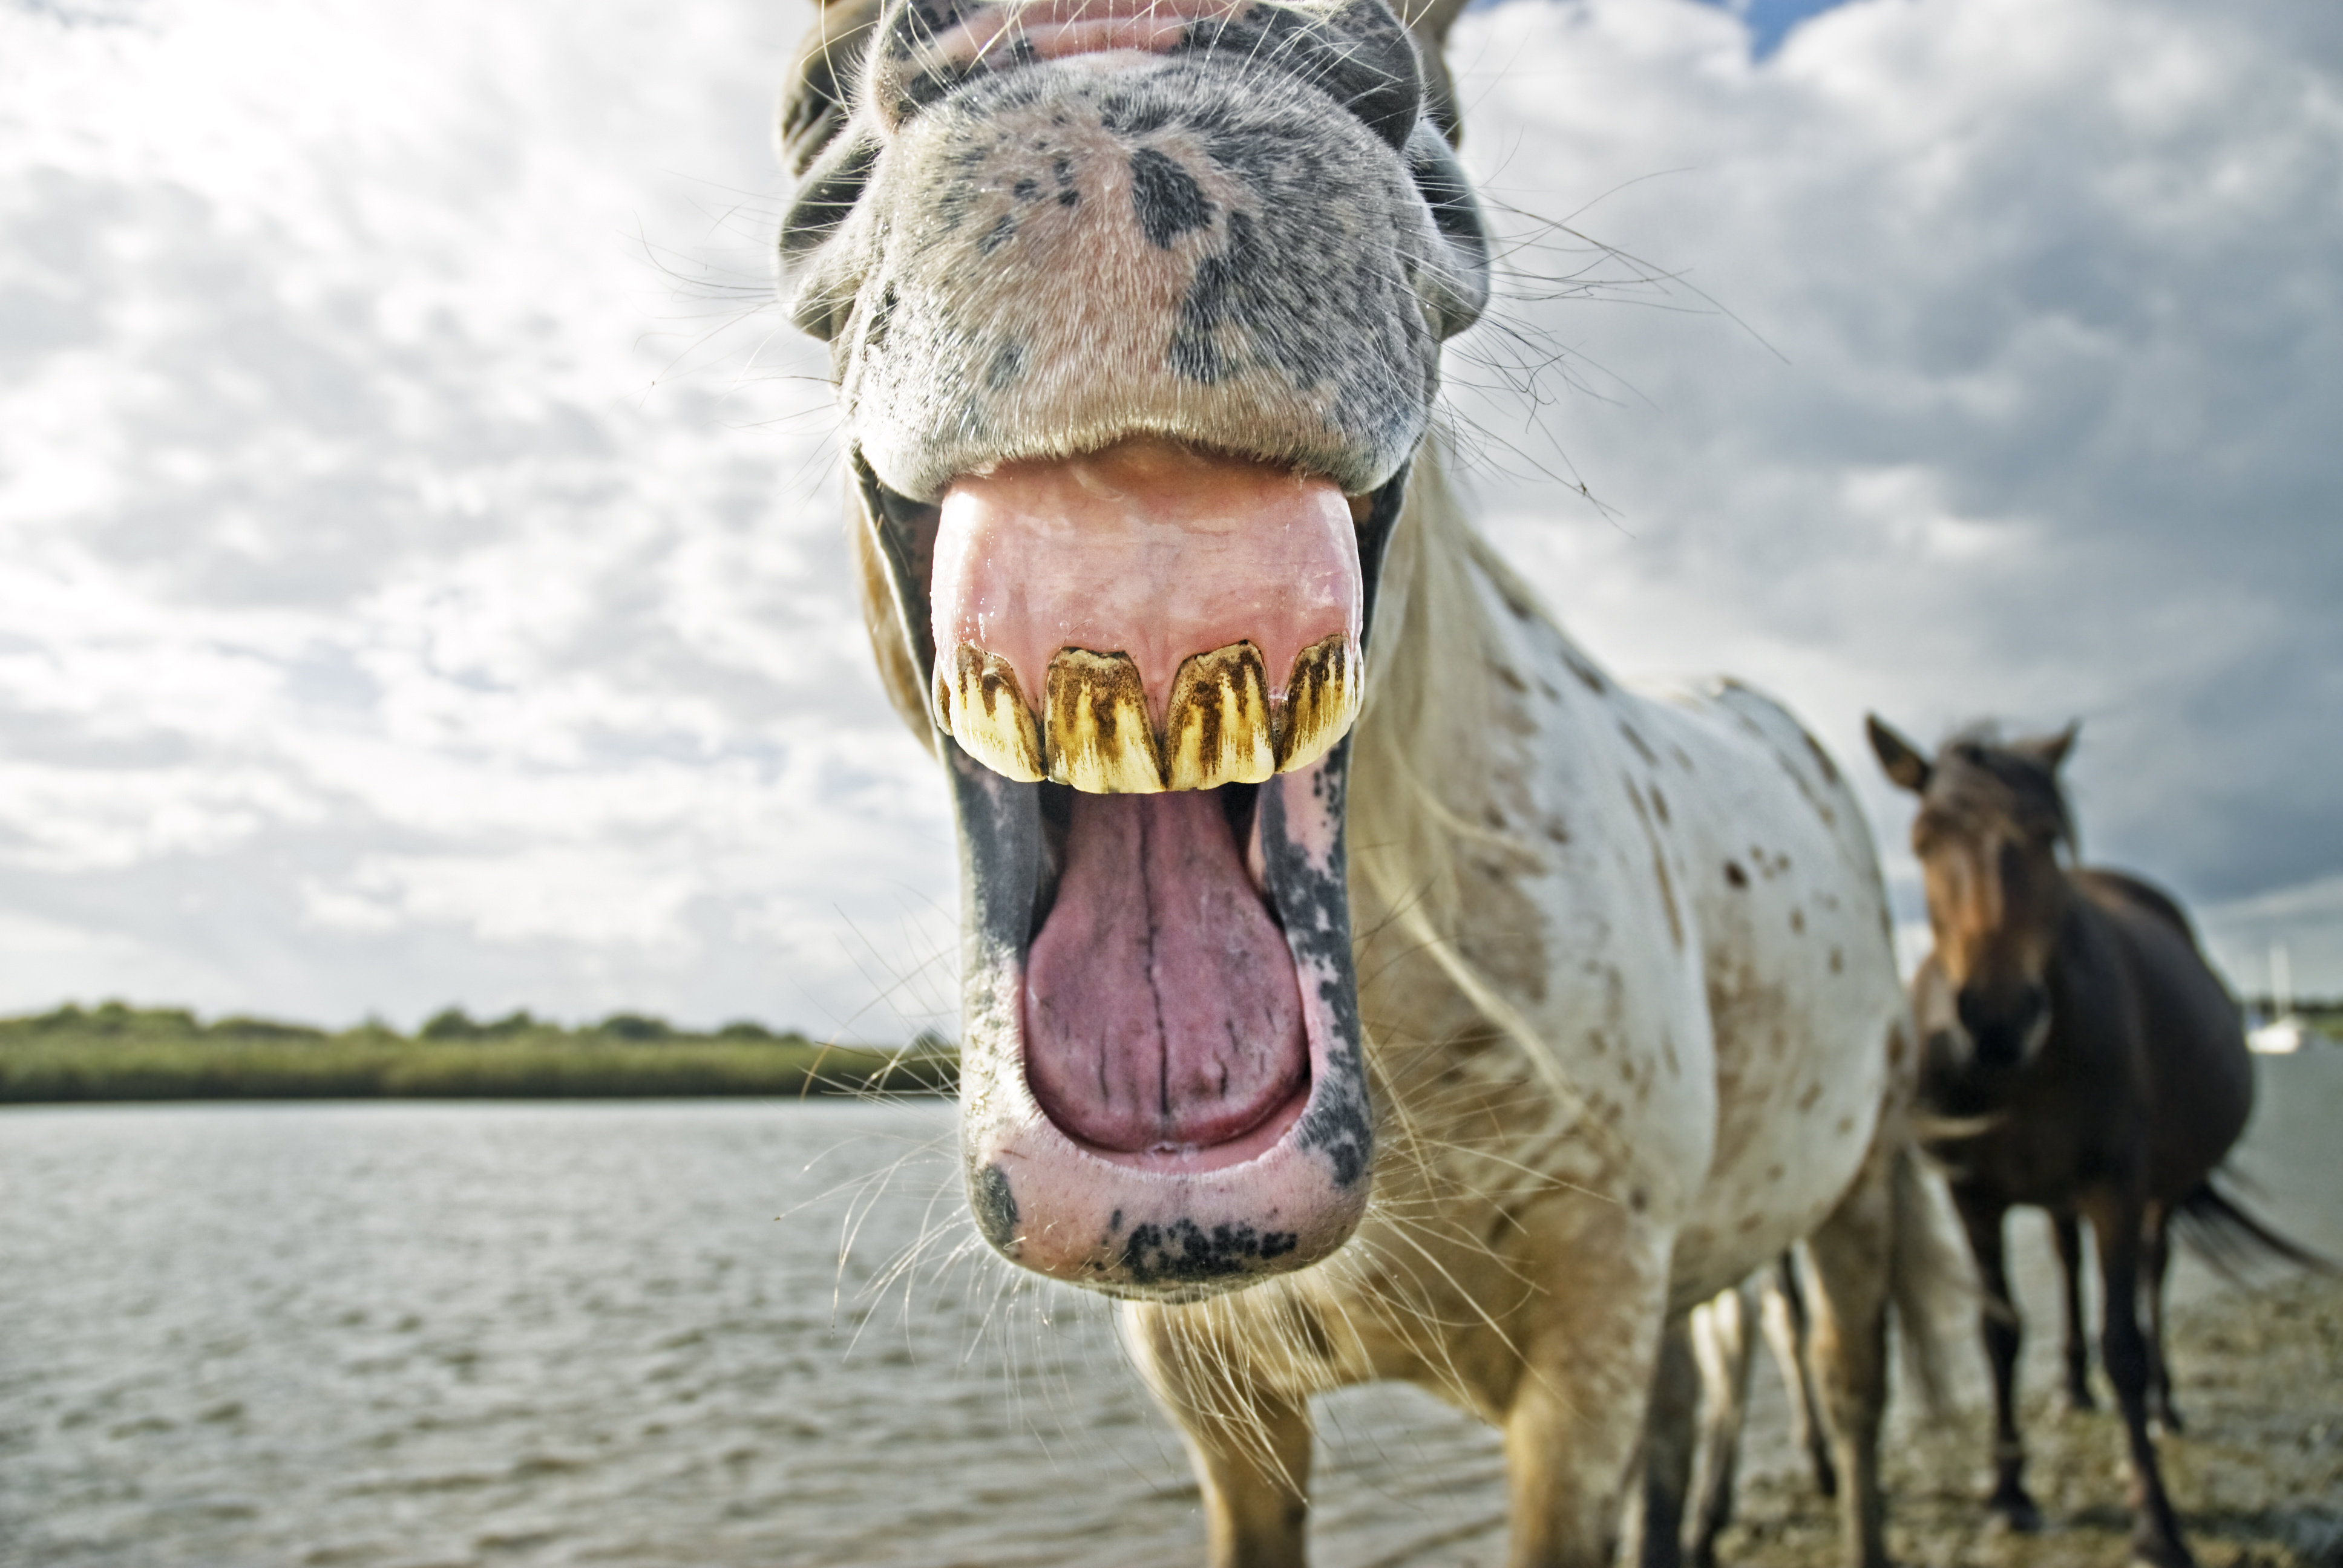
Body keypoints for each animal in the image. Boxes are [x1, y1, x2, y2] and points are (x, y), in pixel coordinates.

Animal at [768, 0, 1940, 1556]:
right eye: (807, 96)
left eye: (1443, 55)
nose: (1119, 67)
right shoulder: (1223, 1399)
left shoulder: (1589, 1340)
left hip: (1851, 1194)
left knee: (1852, 1400)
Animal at [1855, 717, 2315, 1566]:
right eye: (1924, 839)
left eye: (2042, 835)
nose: (1996, 1016)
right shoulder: (1972, 1194)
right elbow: (1998, 1334)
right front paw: (2007, 1491)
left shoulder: (2116, 1184)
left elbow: (2123, 1342)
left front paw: (2153, 1517)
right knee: (2067, 1265)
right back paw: (2071, 1389)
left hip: (2156, 1190)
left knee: (2153, 1281)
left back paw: (2164, 1408)